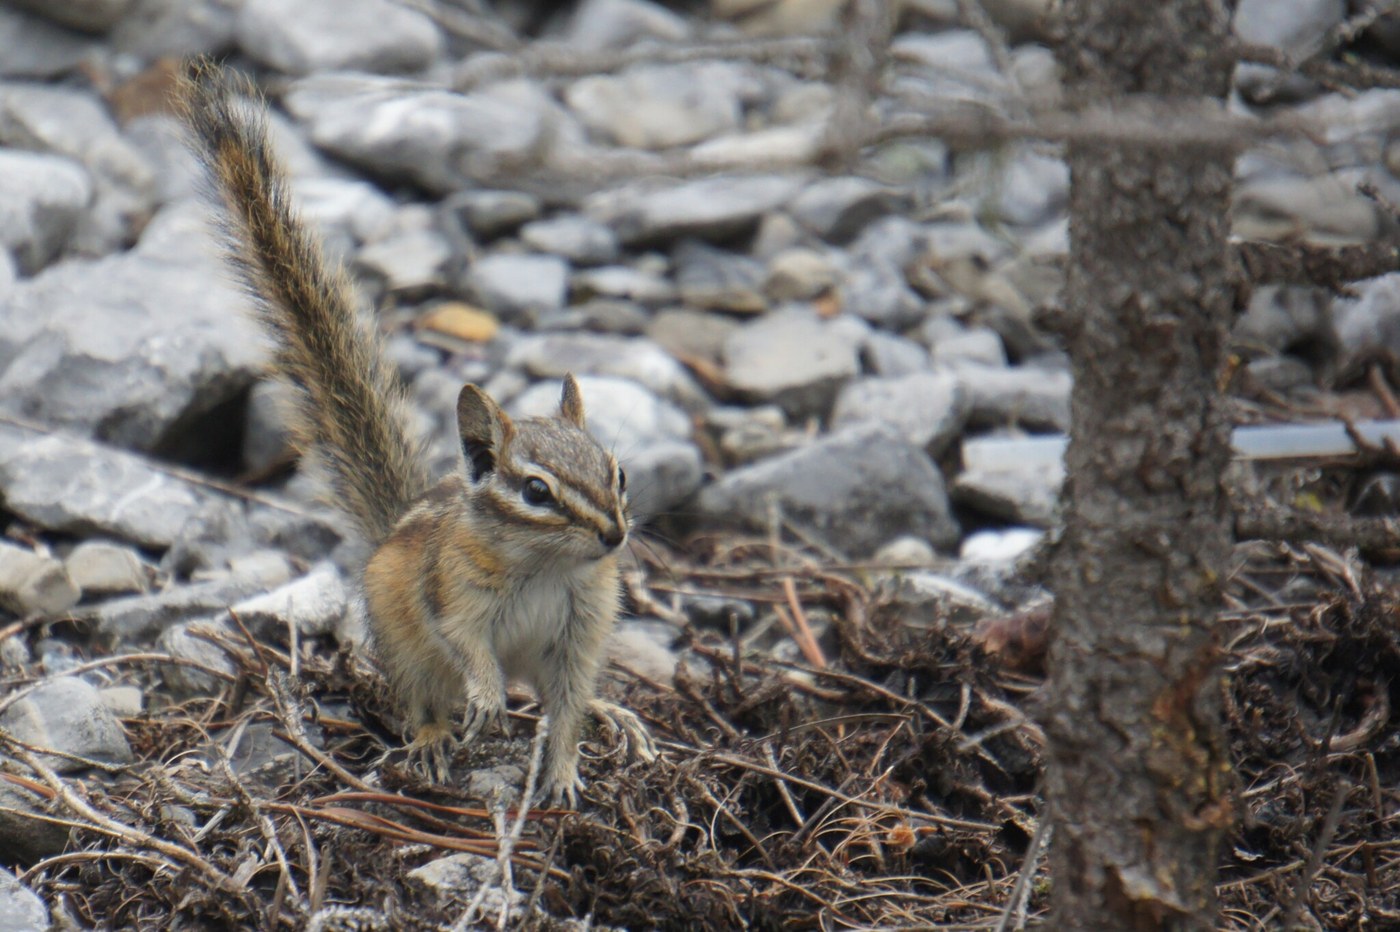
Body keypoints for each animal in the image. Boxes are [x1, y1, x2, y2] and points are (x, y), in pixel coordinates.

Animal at [179, 60, 631, 804]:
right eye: (535, 491)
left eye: (617, 473)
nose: (615, 536)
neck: (544, 568)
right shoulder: (450, 596)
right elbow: (468, 649)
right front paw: (485, 697)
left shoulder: (579, 632)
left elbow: (566, 708)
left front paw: (564, 774)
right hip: (405, 646)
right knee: (420, 698)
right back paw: (433, 741)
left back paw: (615, 714)